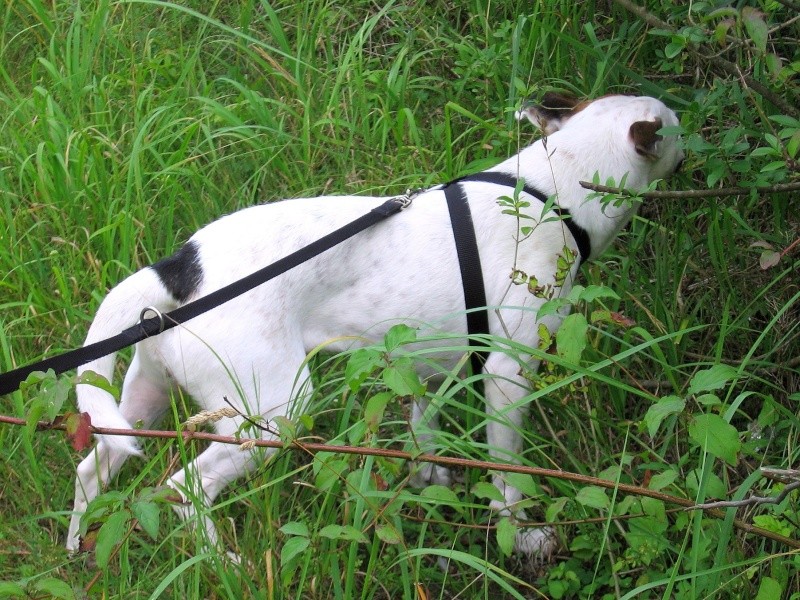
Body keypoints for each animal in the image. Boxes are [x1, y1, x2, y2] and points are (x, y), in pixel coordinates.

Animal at [65, 92, 684, 556]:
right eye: (676, 126)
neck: (552, 192)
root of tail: (179, 270)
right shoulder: (508, 374)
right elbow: (508, 474)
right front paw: (521, 533)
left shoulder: (427, 364)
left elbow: (424, 432)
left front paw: (431, 483)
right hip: (273, 417)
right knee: (183, 488)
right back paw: (225, 562)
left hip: (140, 404)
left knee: (92, 468)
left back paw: (77, 550)